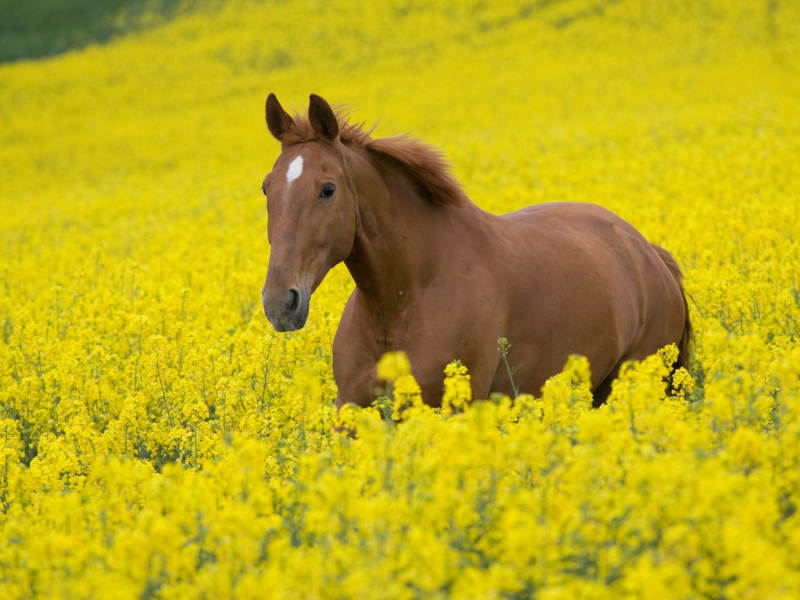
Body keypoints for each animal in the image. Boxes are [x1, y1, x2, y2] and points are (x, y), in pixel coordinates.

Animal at [260, 92, 692, 408]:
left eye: (328, 189)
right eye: (267, 187)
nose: (280, 302)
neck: (400, 303)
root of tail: (648, 252)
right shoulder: (350, 409)